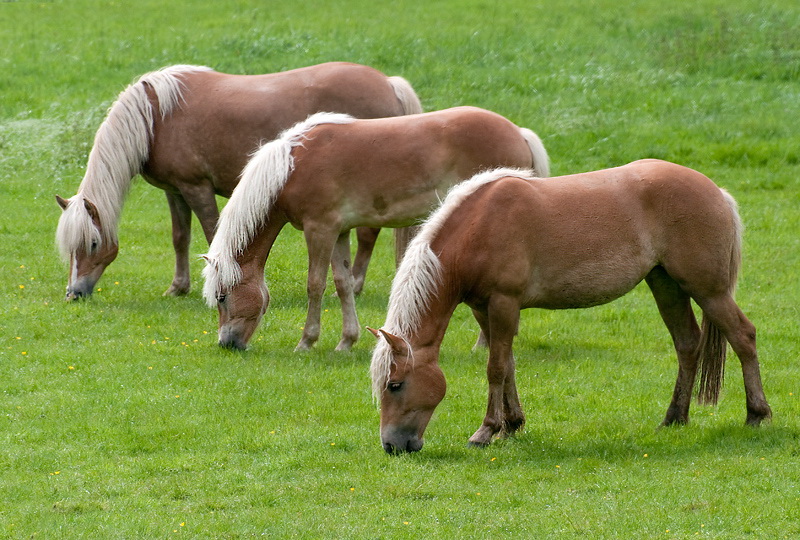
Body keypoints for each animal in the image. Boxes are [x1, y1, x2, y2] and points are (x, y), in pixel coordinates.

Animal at [55, 62, 423, 301]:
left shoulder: (196, 188)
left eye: (92, 244)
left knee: (367, 234)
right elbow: (180, 238)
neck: (157, 115)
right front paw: (178, 287)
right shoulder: (175, 192)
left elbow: (210, 233)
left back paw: (354, 286)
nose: (74, 293)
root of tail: (389, 82)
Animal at [201, 106, 550, 352]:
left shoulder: (319, 230)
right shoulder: (339, 232)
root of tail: (518, 132)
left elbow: (315, 284)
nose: (227, 344)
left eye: (222, 297)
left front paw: (307, 342)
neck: (291, 167)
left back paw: (482, 345)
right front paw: (346, 341)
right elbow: (342, 283)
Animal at [369, 161, 772, 454]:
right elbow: (507, 364)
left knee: (743, 336)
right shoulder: (485, 308)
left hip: (708, 290)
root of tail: (717, 192)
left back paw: (756, 414)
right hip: (666, 285)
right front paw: (512, 425)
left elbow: (495, 368)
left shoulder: (503, 303)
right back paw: (674, 418)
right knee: (688, 344)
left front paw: (486, 431)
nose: (392, 445)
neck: (479, 226)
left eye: (394, 385)